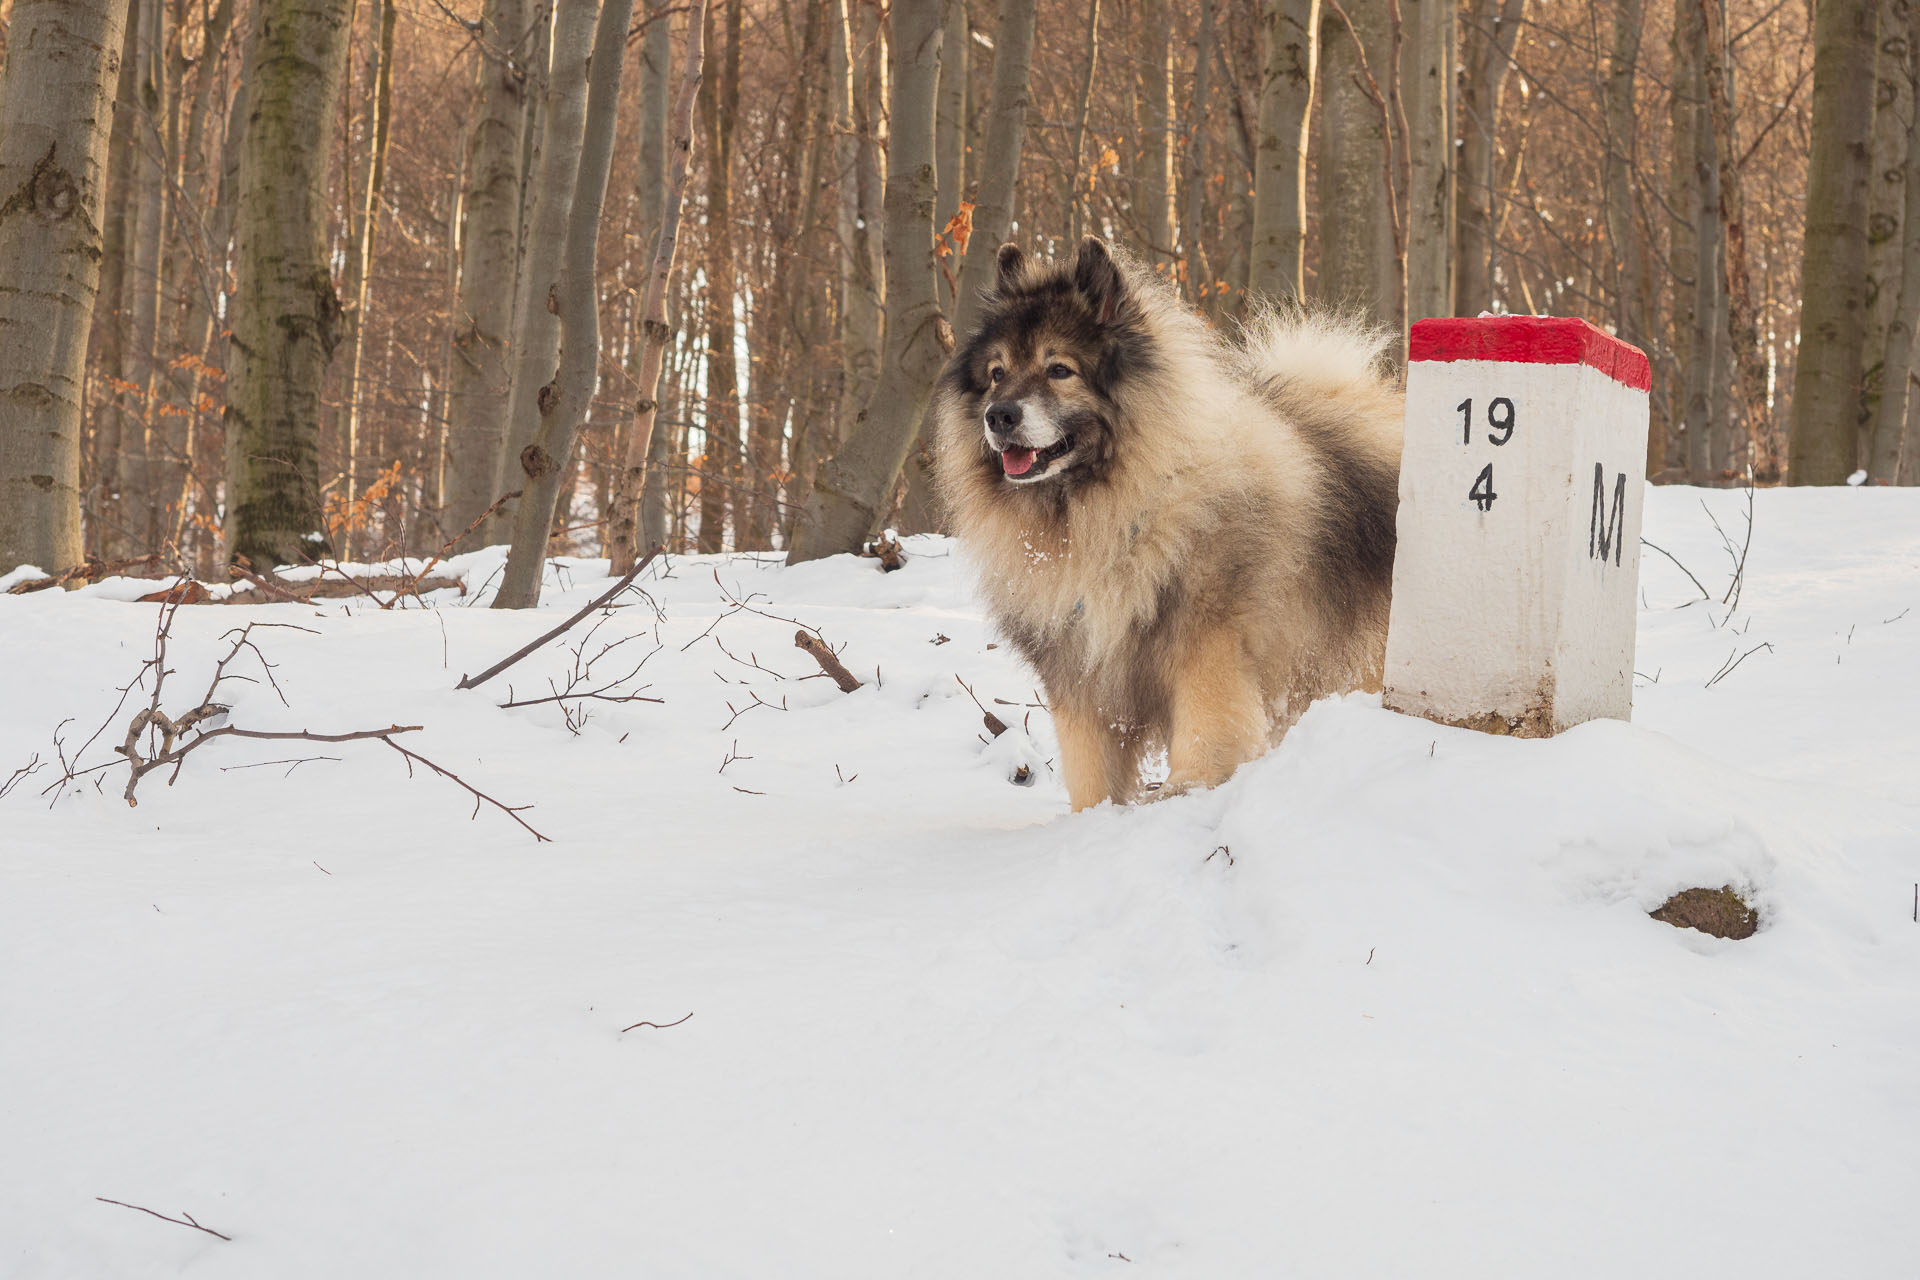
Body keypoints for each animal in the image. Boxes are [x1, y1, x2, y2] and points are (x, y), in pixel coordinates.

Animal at [933, 237, 1405, 809]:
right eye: (997, 374)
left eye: (1059, 370)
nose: (999, 415)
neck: (1114, 519)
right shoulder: (1082, 679)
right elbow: (1090, 773)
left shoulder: (1208, 648)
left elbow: (1205, 730)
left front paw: (1188, 789)